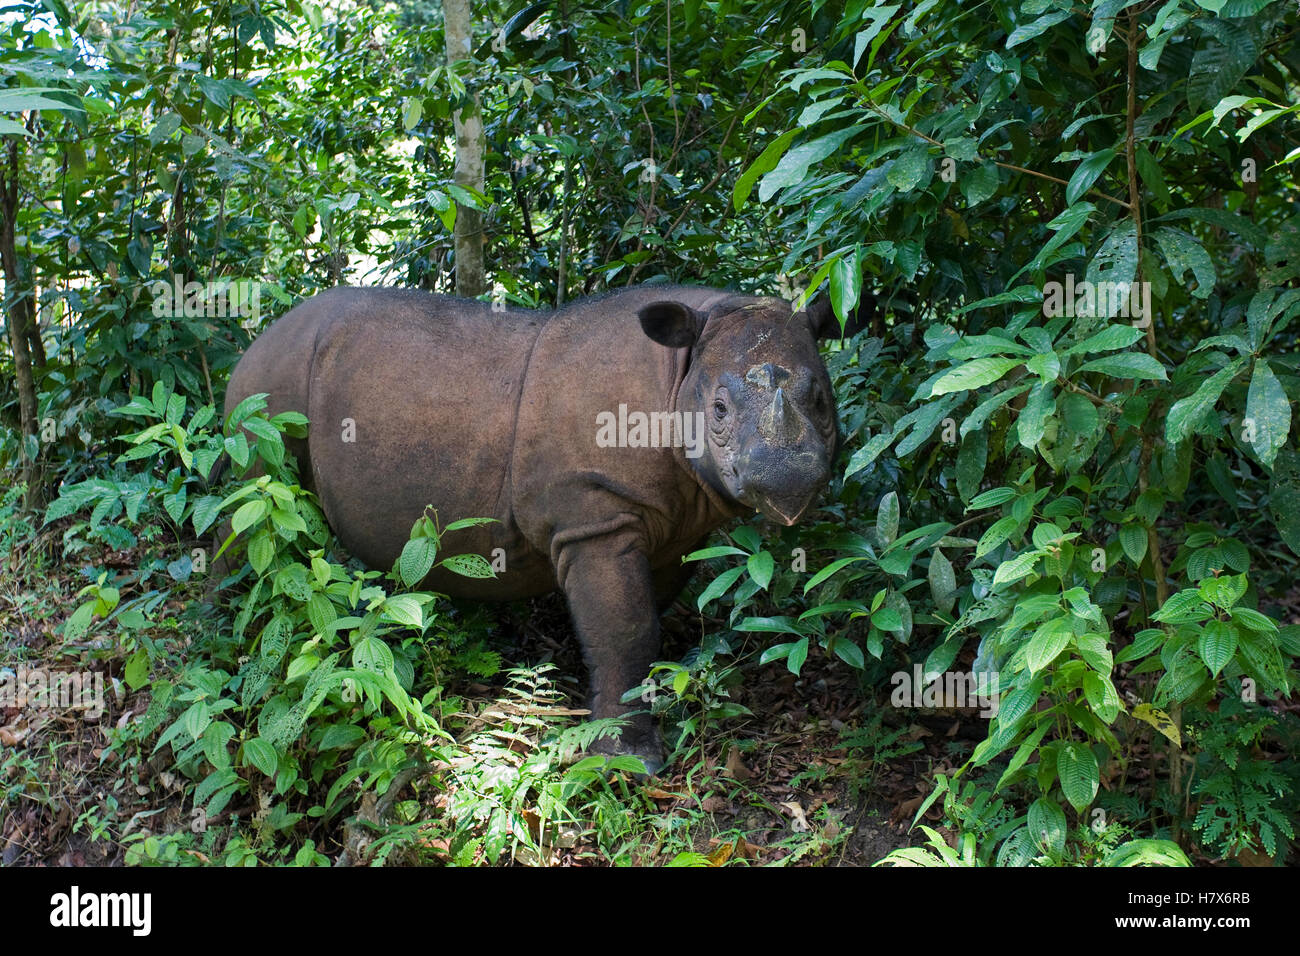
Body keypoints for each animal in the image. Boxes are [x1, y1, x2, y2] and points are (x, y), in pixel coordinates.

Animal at [223, 284, 868, 773]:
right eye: (719, 411)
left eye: (822, 401)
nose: (786, 483)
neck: (675, 377)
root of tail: (260, 336)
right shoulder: (593, 516)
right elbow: (626, 629)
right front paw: (630, 762)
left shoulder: (669, 524)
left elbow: (645, 621)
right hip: (267, 388)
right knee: (256, 506)